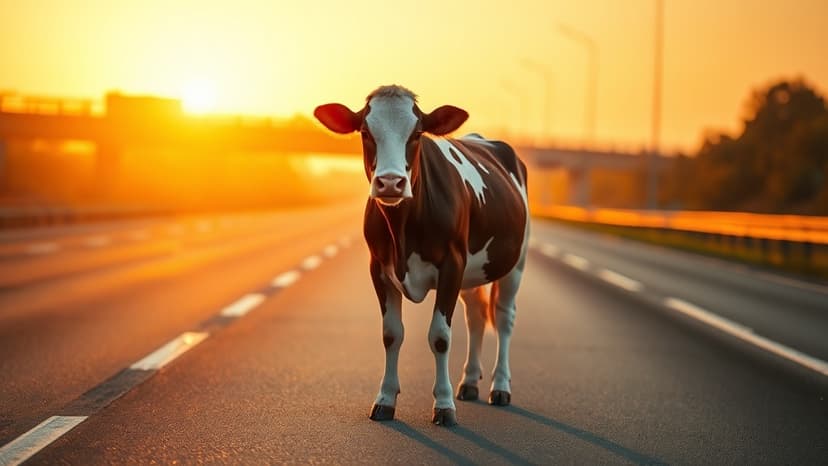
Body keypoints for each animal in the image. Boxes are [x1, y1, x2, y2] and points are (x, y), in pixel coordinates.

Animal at [314, 85, 528, 427]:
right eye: (365, 131)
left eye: (417, 134)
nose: (390, 182)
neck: (403, 230)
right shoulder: (379, 268)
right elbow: (391, 334)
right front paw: (385, 400)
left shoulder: (452, 264)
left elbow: (440, 336)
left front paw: (443, 405)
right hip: (473, 273)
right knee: (477, 316)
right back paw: (469, 382)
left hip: (514, 264)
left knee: (505, 318)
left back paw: (500, 387)